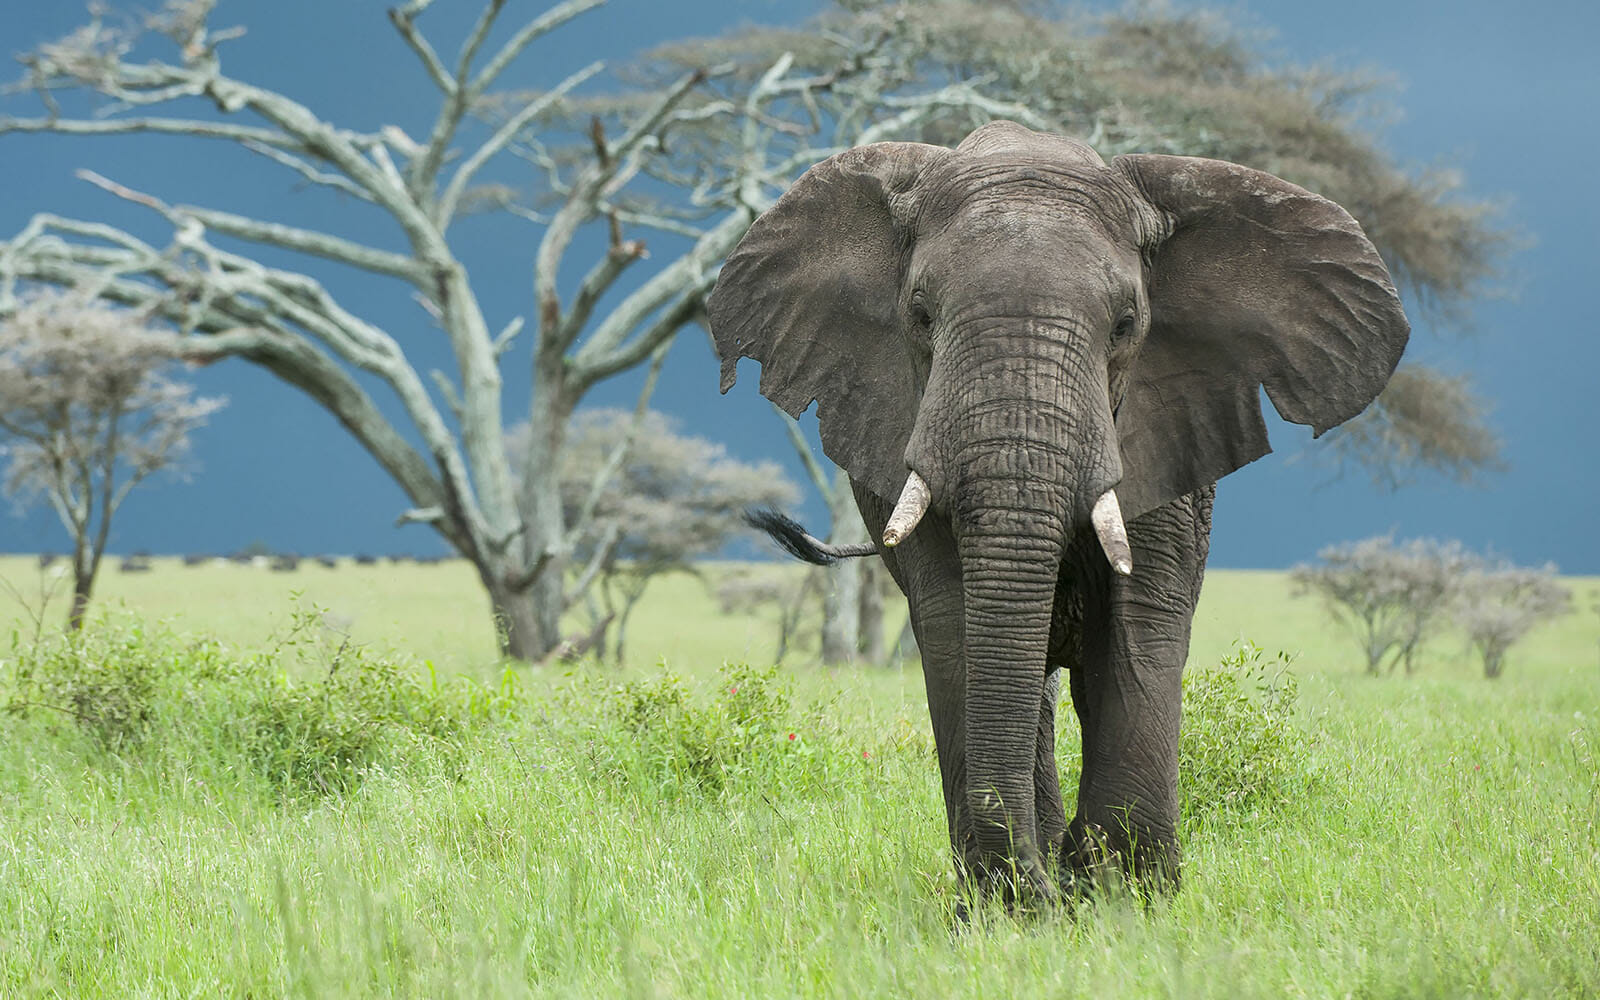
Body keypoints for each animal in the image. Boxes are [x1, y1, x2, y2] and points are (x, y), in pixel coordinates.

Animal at [707, 120, 1408, 902]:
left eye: (1126, 324)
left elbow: (1142, 620)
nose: (1035, 889)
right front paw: (1012, 905)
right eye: (920, 316)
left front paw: (1125, 892)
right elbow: (955, 626)